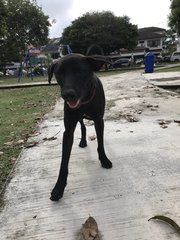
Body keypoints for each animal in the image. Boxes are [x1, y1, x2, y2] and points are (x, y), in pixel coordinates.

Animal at [47, 54, 112, 201]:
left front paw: (104, 159)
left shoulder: (99, 121)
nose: (67, 94)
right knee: (83, 127)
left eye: (79, 72)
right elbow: (64, 162)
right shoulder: (68, 130)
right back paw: (83, 141)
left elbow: (100, 144)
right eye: (59, 73)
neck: (85, 101)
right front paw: (58, 188)